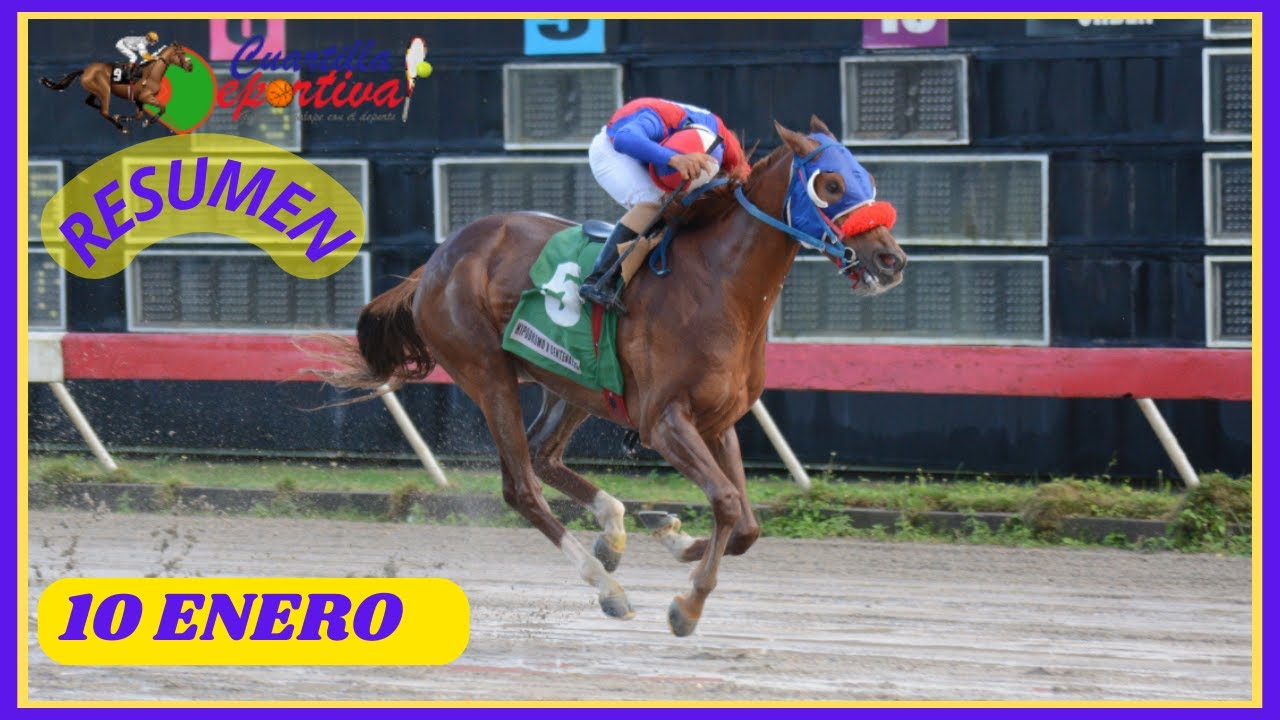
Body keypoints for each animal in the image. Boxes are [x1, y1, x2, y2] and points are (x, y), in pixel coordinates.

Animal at [40, 42, 194, 134]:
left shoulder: (138, 99)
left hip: (95, 90)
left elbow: (139, 115)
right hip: (104, 90)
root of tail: (85, 70)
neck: (151, 73)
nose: (190, 66)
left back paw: (116, 118)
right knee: (103, 111)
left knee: (90, 102)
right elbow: (162, 107)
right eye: (181, 53)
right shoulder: (145, 97)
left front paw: (122, 117)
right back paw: (121, 127)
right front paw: (148, 121)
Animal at [318, 117, 908, 637]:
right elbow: (724, 502)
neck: (720, 286)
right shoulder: (664, 422)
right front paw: (687, 606)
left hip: (571, 381)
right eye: (830, 184)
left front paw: (674, 538)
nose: (891, 258)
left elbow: (744, 523)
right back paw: (607, 587)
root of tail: (434, 264)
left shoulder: (719, 421)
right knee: (521, 487)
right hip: (487, 374)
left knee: (544, 455)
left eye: (867, 179)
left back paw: (614, 531)